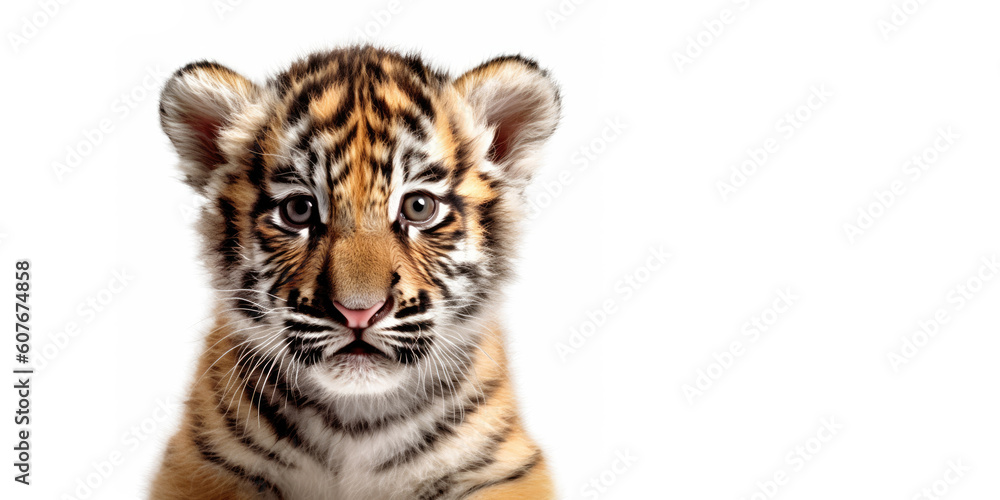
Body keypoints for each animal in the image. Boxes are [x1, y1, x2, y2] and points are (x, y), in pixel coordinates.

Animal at [150, 45, 560, 500]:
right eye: (299, 209)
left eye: (419, 207)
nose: (358, 312)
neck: (355, 421)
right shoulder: (195, 466)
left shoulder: (502, 469)